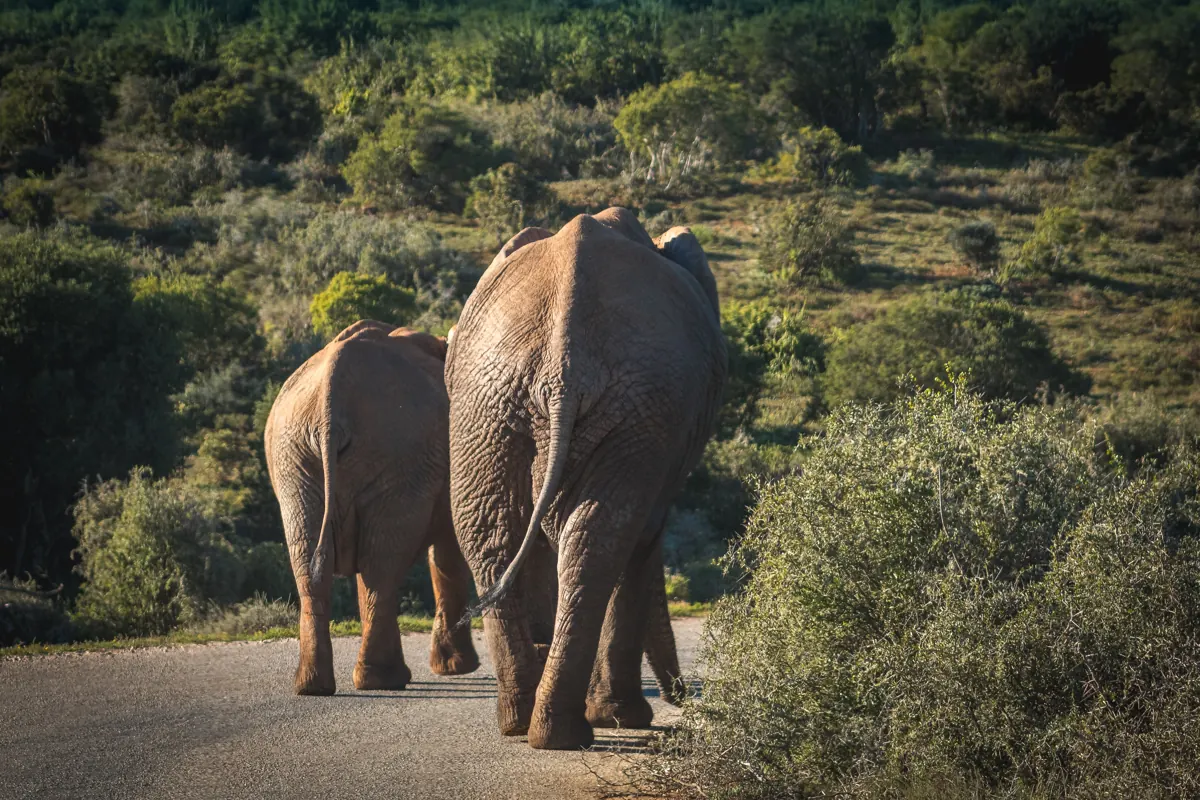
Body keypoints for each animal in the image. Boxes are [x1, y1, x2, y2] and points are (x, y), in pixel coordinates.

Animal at [265, 321, 480, 696]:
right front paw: (458, 669)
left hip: (296, 459)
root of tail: (330, 400)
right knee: (380, 564)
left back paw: (317, 686)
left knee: (321, 562)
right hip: (388, 454)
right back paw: (382, 680)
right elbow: (448, 551)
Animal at [445, 208, 727, 749]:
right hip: (615, 404)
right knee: (604, 535)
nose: (684, 697)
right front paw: (623, 719)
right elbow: (643, 540)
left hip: (494, 403)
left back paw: (527, 725)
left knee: (493, 532)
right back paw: (578, 727)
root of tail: (564, 367)